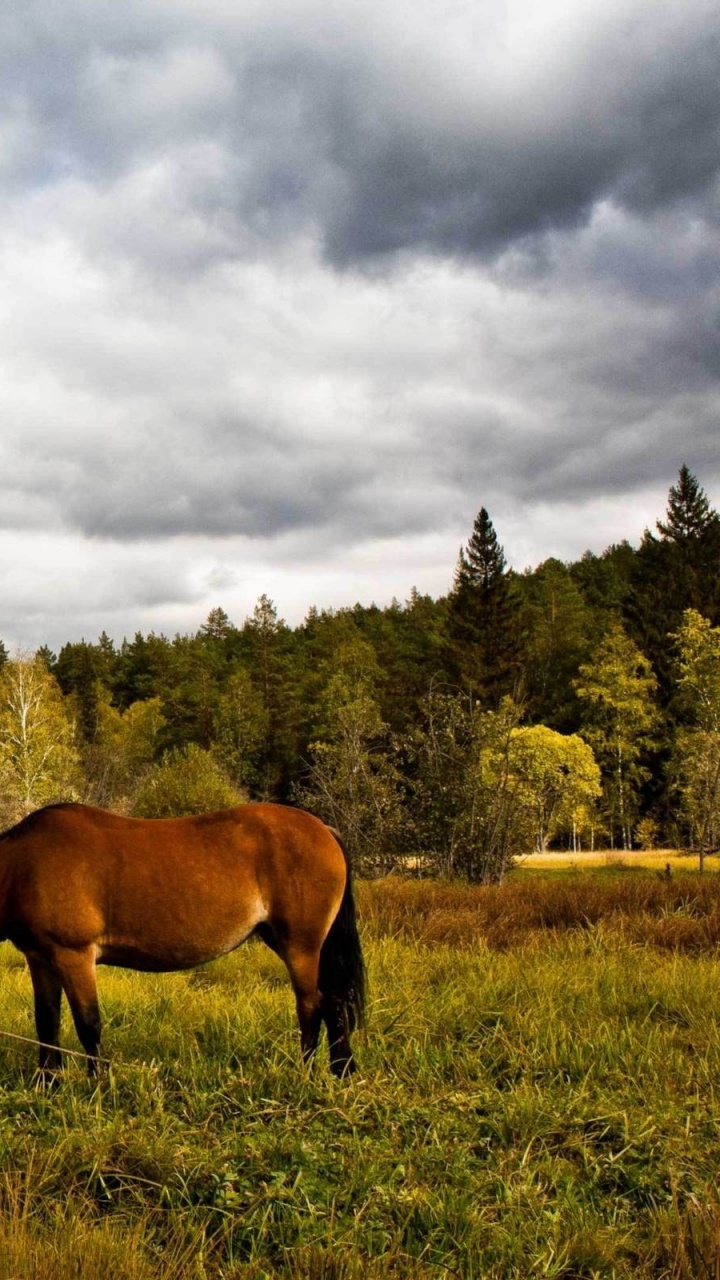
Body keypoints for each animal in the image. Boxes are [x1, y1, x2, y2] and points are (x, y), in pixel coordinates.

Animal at [0, 801, 366, 1082]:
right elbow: (47, 1022)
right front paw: (48, 1084)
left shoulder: (74, 956)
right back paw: (341, 1071)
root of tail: (323, 830)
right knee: (334, 1002)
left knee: (311, 1006)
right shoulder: (40, 958)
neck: (25, 864)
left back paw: (306, 1074)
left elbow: (88, 1024)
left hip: (301, 947)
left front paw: (98, 1086)